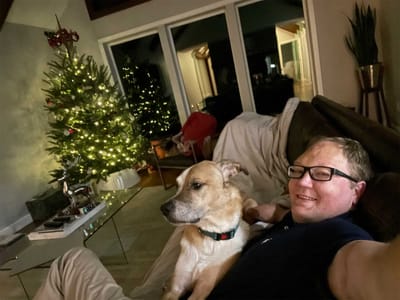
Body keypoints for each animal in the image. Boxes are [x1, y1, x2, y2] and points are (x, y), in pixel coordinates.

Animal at [159, 161, 256, 298]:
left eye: (196, 185)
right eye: (177, 186)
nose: (162, 209)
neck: (210, 235)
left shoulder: (203, 288)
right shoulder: (176, 288)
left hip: (251, 204)